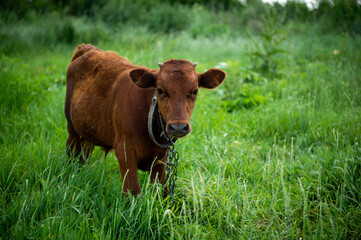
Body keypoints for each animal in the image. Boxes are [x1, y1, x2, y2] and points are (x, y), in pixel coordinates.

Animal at [63, 44, 224, 195]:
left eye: (195, 91)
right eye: (160, 90)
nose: (178, 127)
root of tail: (89, 48)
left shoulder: (161, 157)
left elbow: (159, 191)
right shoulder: (124, 149)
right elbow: (133, 190)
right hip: (71, 126)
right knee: (72, 150)